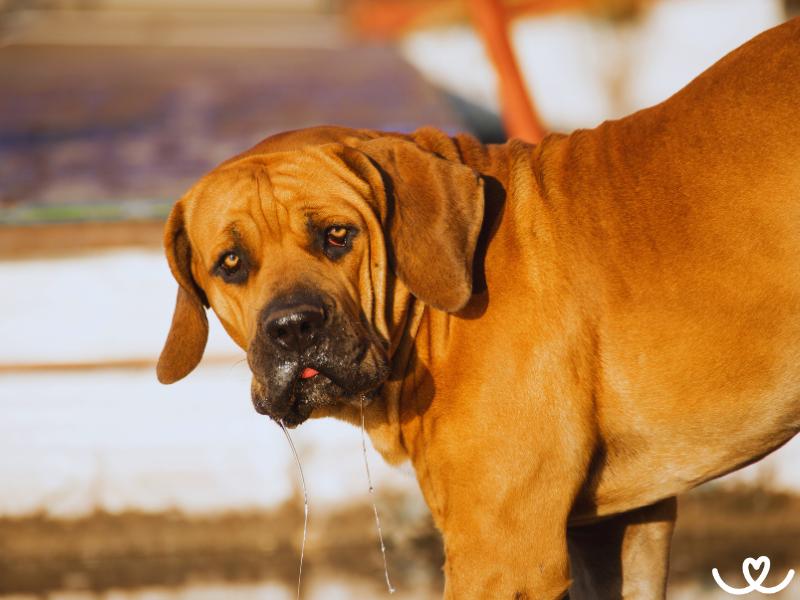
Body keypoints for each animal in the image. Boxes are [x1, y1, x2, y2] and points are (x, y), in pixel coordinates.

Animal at [156, 18, 800, 600]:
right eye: (231, 262)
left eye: (337, 235)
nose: (293, 328)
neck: (428, 324)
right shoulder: (621, 526)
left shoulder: (502, 552)